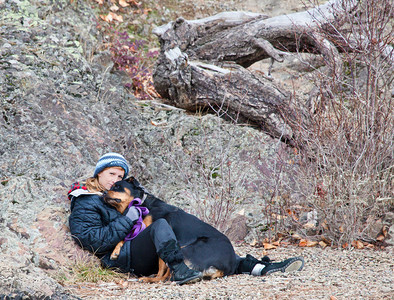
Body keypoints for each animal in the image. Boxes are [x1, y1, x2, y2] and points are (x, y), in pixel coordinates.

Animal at [104, 178, 237, 284]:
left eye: (117, 186)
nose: (104, 192)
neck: (141, 203)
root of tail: (228, 266)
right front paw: (116, 251)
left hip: (186, 249)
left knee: (166, 275)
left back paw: (150, 279)